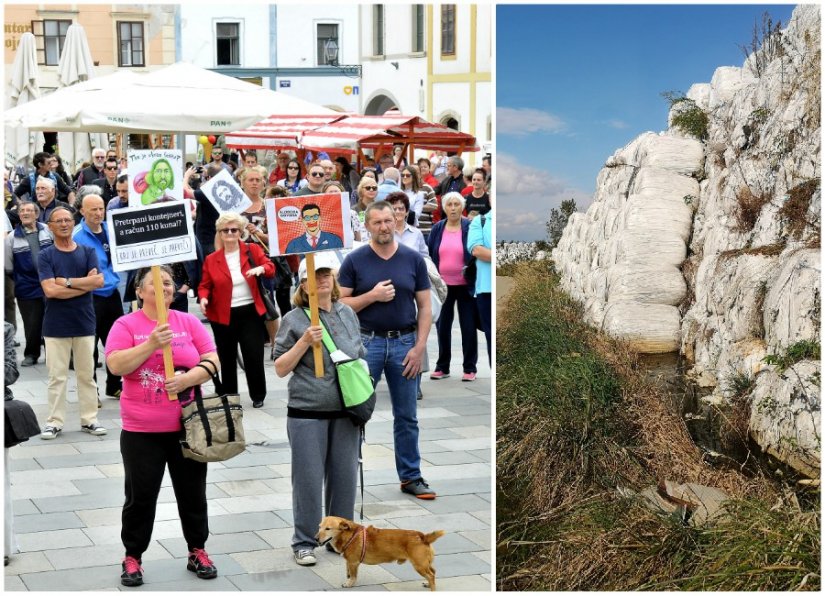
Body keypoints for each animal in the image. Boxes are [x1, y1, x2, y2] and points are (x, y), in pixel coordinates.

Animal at [316, 516, 444, 588]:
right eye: (319, 527)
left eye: (328, 528)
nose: (315, 538)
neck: (349, 535)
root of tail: (423, 537)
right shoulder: (349, 562)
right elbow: (348, 572)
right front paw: (348, 578)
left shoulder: (353, 563)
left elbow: (353, 575)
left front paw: (349, 583)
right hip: (425, 564)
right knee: (433, 572)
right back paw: (428, 584)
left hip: (419, 565)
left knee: (431, 576)